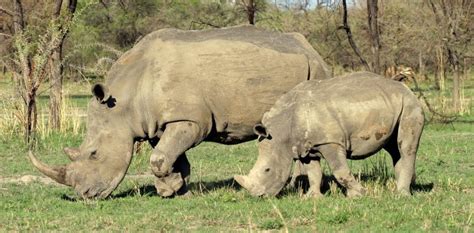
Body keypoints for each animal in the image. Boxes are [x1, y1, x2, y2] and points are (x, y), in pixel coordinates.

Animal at [28, 24, 330, 198]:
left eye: (93, 154)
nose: (83, 195)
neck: (124, 100)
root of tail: (308, 46)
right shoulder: (158, 123)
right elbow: (167, 155)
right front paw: (176, 187)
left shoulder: (191, 120)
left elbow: (159, 158)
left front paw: (168, 188)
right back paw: (298, 186)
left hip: (315, 68)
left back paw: (299, 188)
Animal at [235, 72, 424, 198]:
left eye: (267, 170)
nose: (258, 197)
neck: (282, 131)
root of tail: (406, 88)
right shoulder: (306, 146)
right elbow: (313, 172)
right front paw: (312, 198)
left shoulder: (330, 142)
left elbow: (339, 170)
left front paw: (358, 195)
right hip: (394, 103)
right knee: (394, 149)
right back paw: (402, 189)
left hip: (410, 105)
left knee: (405, 148)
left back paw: (402, 195)